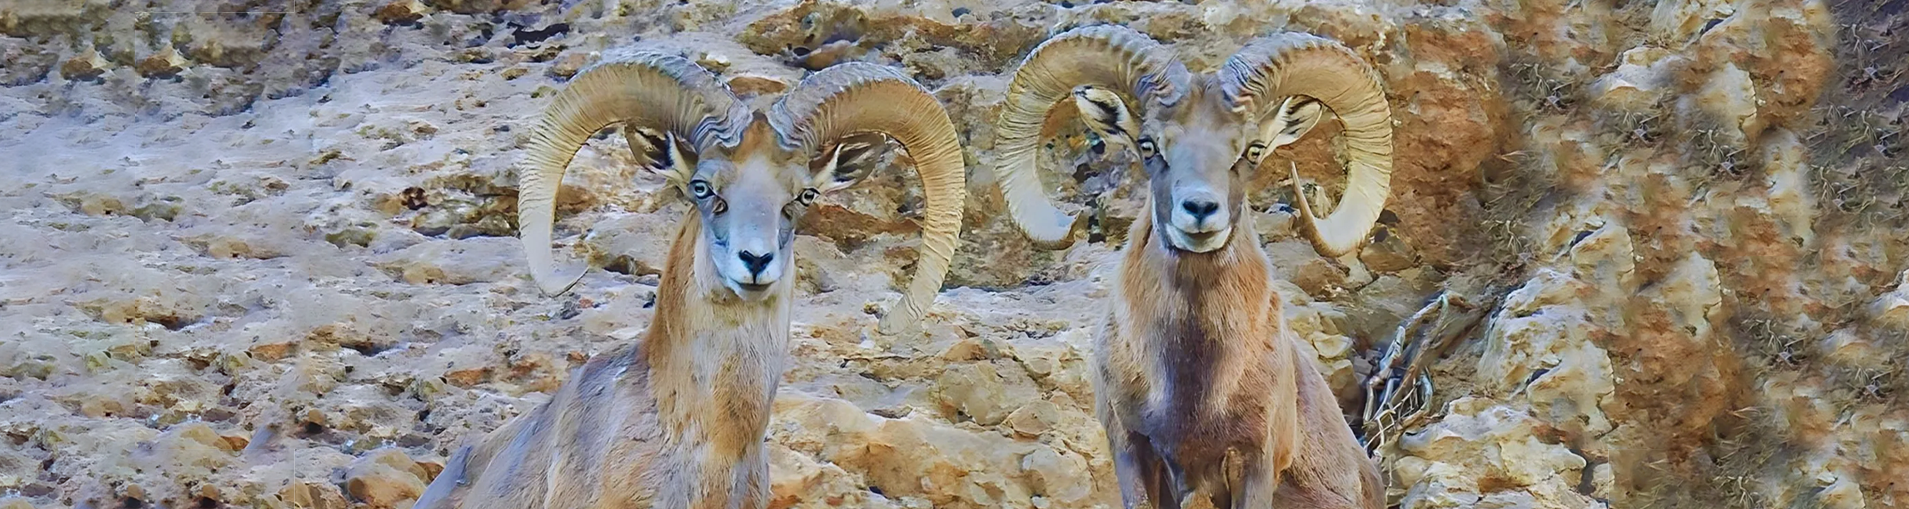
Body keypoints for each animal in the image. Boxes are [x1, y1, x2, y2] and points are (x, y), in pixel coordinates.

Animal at [990, 25, 1394, 508]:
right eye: (1148, 145)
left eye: (1253, 150)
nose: (1200, 210)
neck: (1192, 386)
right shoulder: (1133, 452)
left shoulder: (1253, 463)